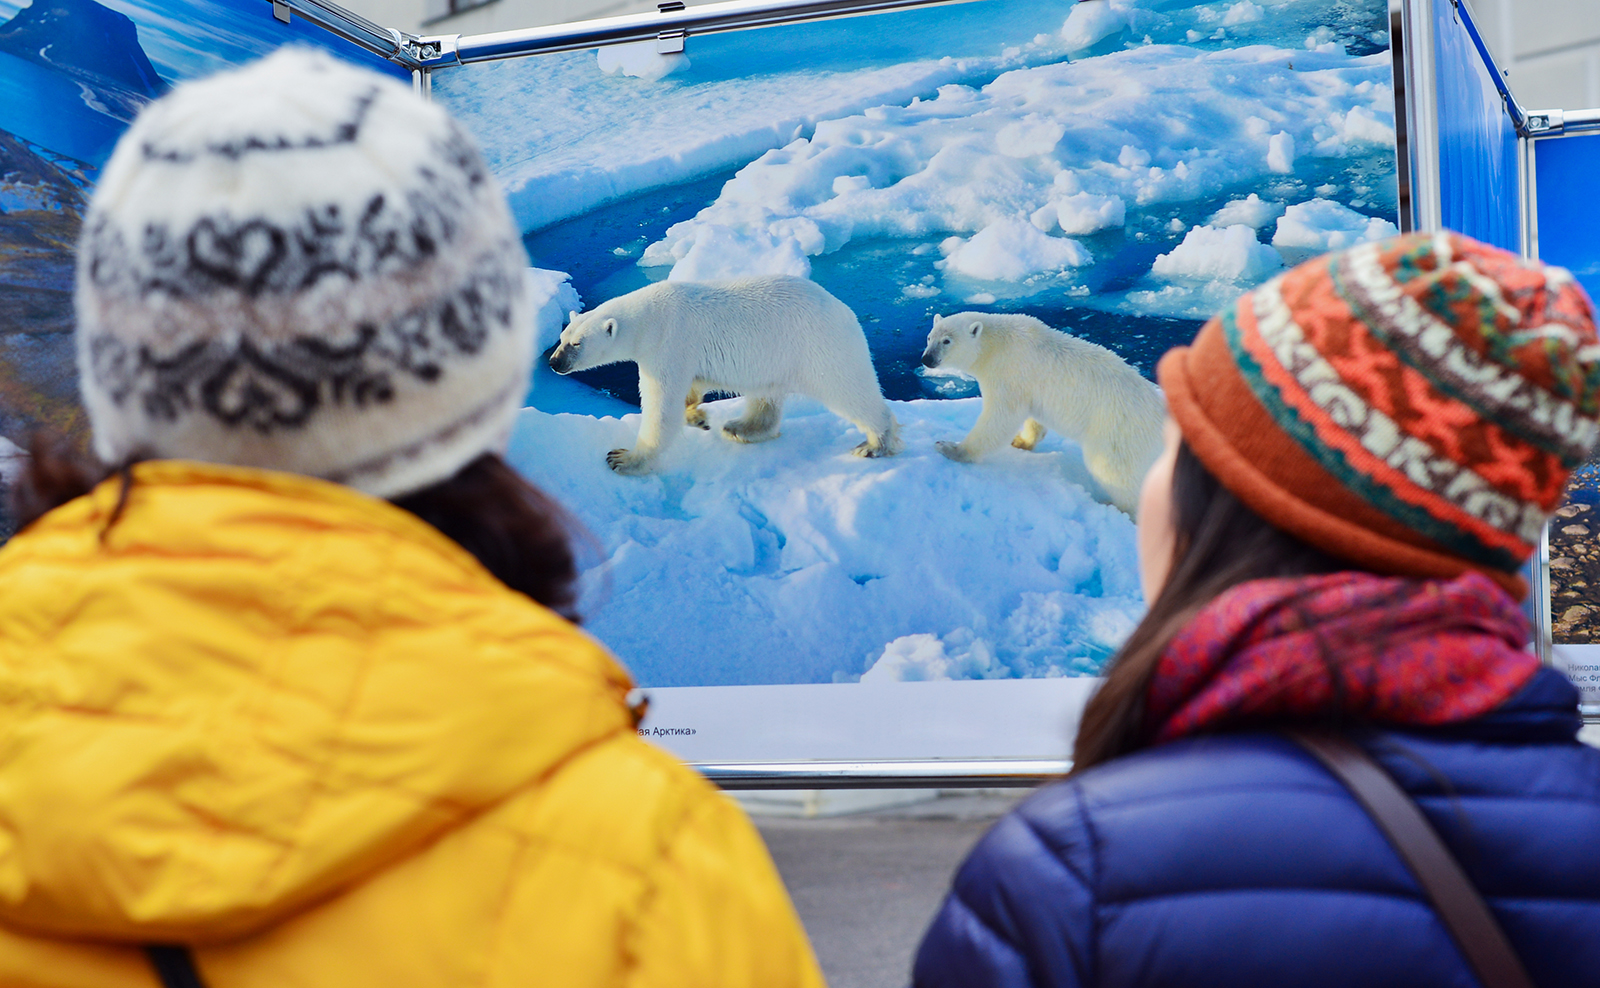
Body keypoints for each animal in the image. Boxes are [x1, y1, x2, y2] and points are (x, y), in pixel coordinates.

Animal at [550, 274, 902, 476]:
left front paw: (624, 458)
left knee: (850, 390)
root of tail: (845, 311)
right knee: (766, 395)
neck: (650, 317)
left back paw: (874, 443)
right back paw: (740, 427)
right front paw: (698, 416)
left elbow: (661, 407)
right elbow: (693, 385)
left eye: (577, 343)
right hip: (777, 357)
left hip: (820, 348)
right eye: (563, 335)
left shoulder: (670, 343)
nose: (554, 362)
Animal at [928, 313, 1164, 514]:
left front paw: (950, 448)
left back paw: (1114, 505)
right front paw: (1020, 441)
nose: (926, 358)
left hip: (1117, 432)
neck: (995, 344)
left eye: (946, 341)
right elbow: (1033, 417)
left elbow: (1000, 417)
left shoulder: (1008, 372)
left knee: (1113, 471)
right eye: (930, 337)